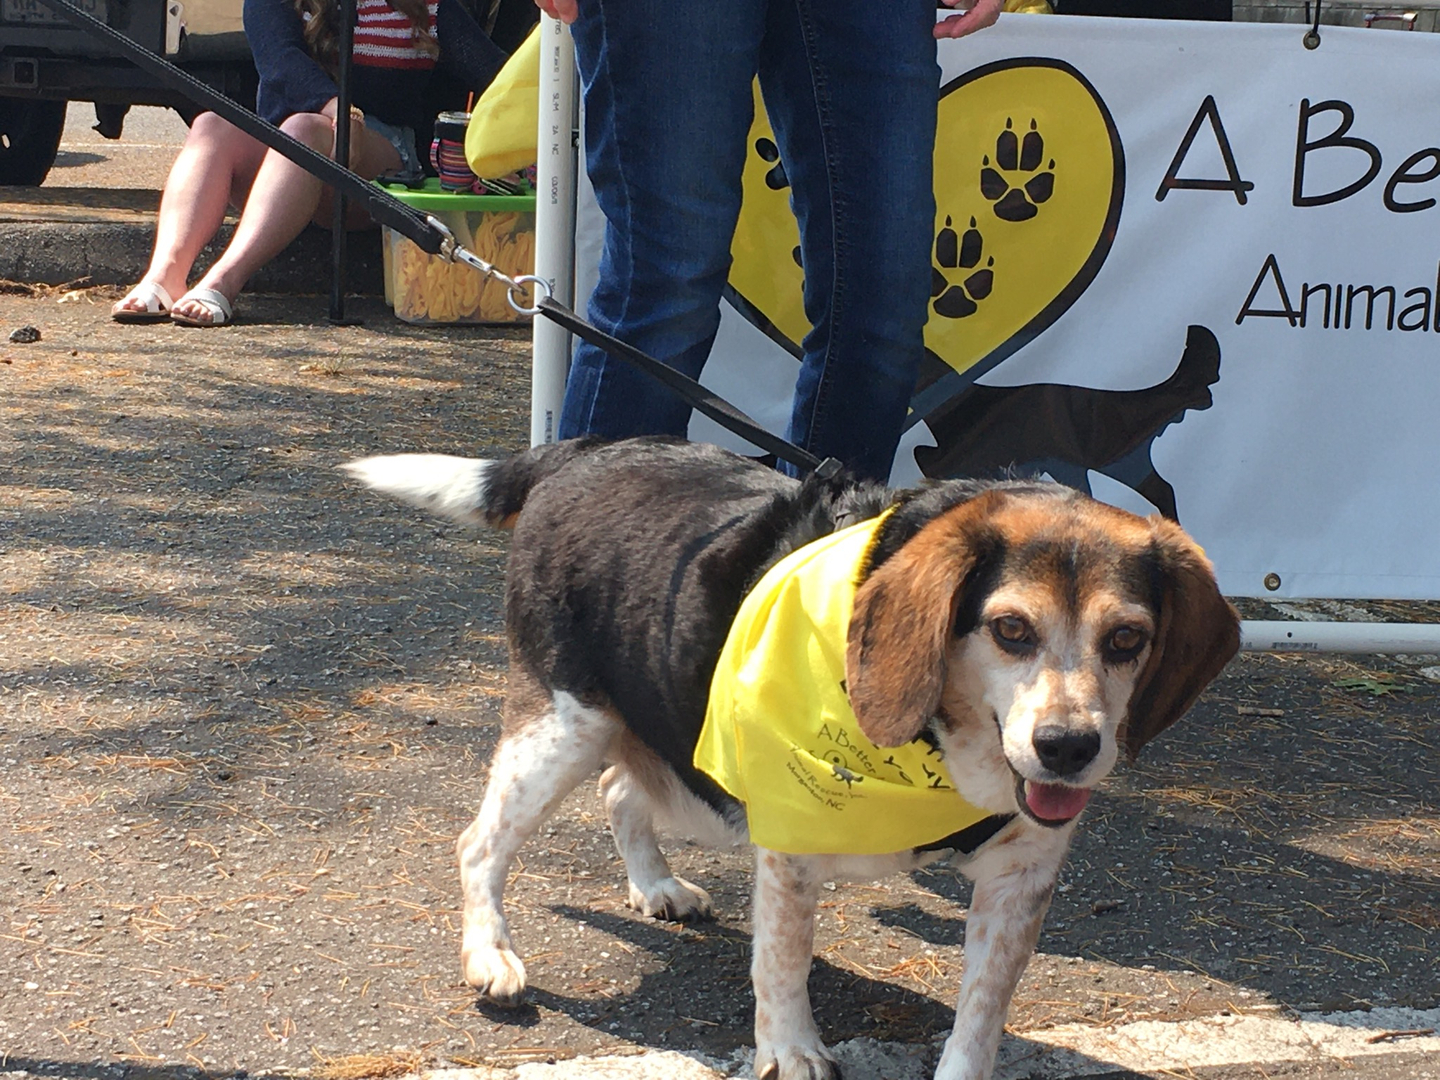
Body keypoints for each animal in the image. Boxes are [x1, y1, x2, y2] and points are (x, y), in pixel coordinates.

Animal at [339, 437, 1238, 1080]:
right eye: (1011, 629)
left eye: (1127, 640)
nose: (1069, 748)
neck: (937, 748)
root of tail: (585, 451)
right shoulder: (792, 846)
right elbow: (781, 964)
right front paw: (793, 1051)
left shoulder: (1020, 879)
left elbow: (980, 1013)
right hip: (565, 728)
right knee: (481, 843)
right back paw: (490, 952)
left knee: (621, 791)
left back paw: (655, 884)